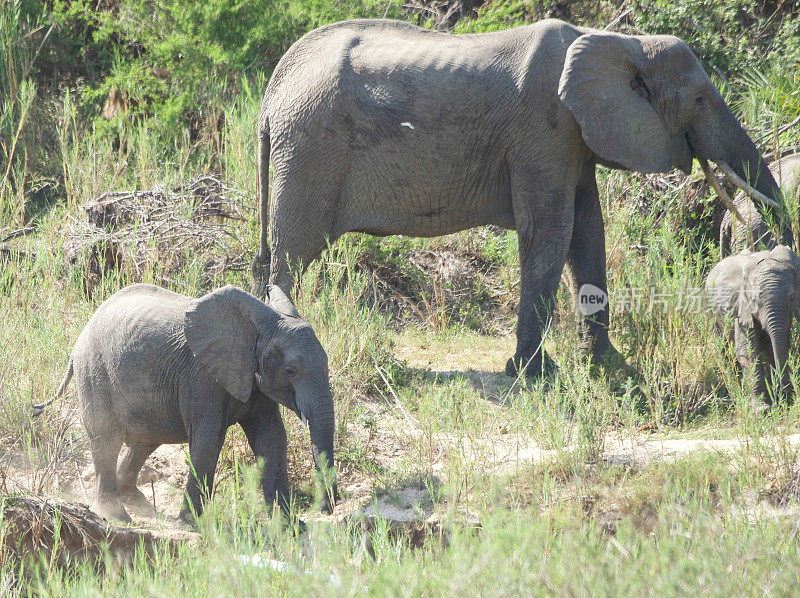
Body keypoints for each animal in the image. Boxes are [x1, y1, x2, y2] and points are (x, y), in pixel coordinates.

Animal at [32, 284, 334, 524]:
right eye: (290, 371)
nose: (325, 510)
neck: (256, 329)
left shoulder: (253, 379)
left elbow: (271, 438)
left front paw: (289, 526)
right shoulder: (202, 376)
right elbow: (209, 439)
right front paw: (189, 525)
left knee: (144, 441)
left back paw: (135, 502)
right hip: (95, 372)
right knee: (106, 438)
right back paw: (117, 516)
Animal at [708, 245, 800, 408]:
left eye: (791, 297)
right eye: (754, 300)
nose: (785, 393)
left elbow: (777, 345)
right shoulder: (740, 308)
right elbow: (747, 350)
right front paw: (762, 408)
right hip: (713, 315)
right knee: (722, 348)